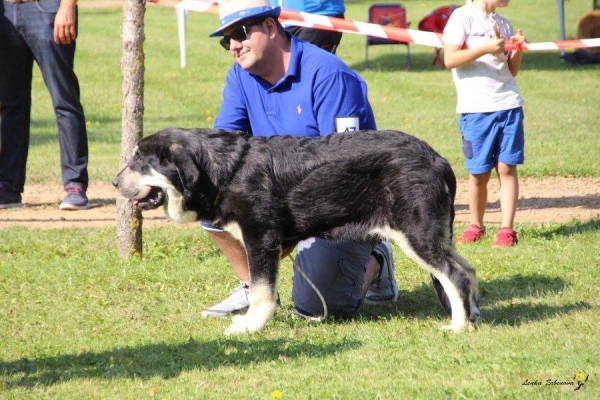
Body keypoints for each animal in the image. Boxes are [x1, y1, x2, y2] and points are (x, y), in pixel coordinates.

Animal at [111, 128, 478, 334]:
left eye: (140, 162)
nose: (114, 182)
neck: (224, 170)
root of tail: (438, 159)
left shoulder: (261, 240)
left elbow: (261, 292)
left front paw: (251, 327)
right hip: (437, 235)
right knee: (469, 271)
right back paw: (472, 314)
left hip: (416, 233)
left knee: (455, 276)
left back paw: (458, 327)